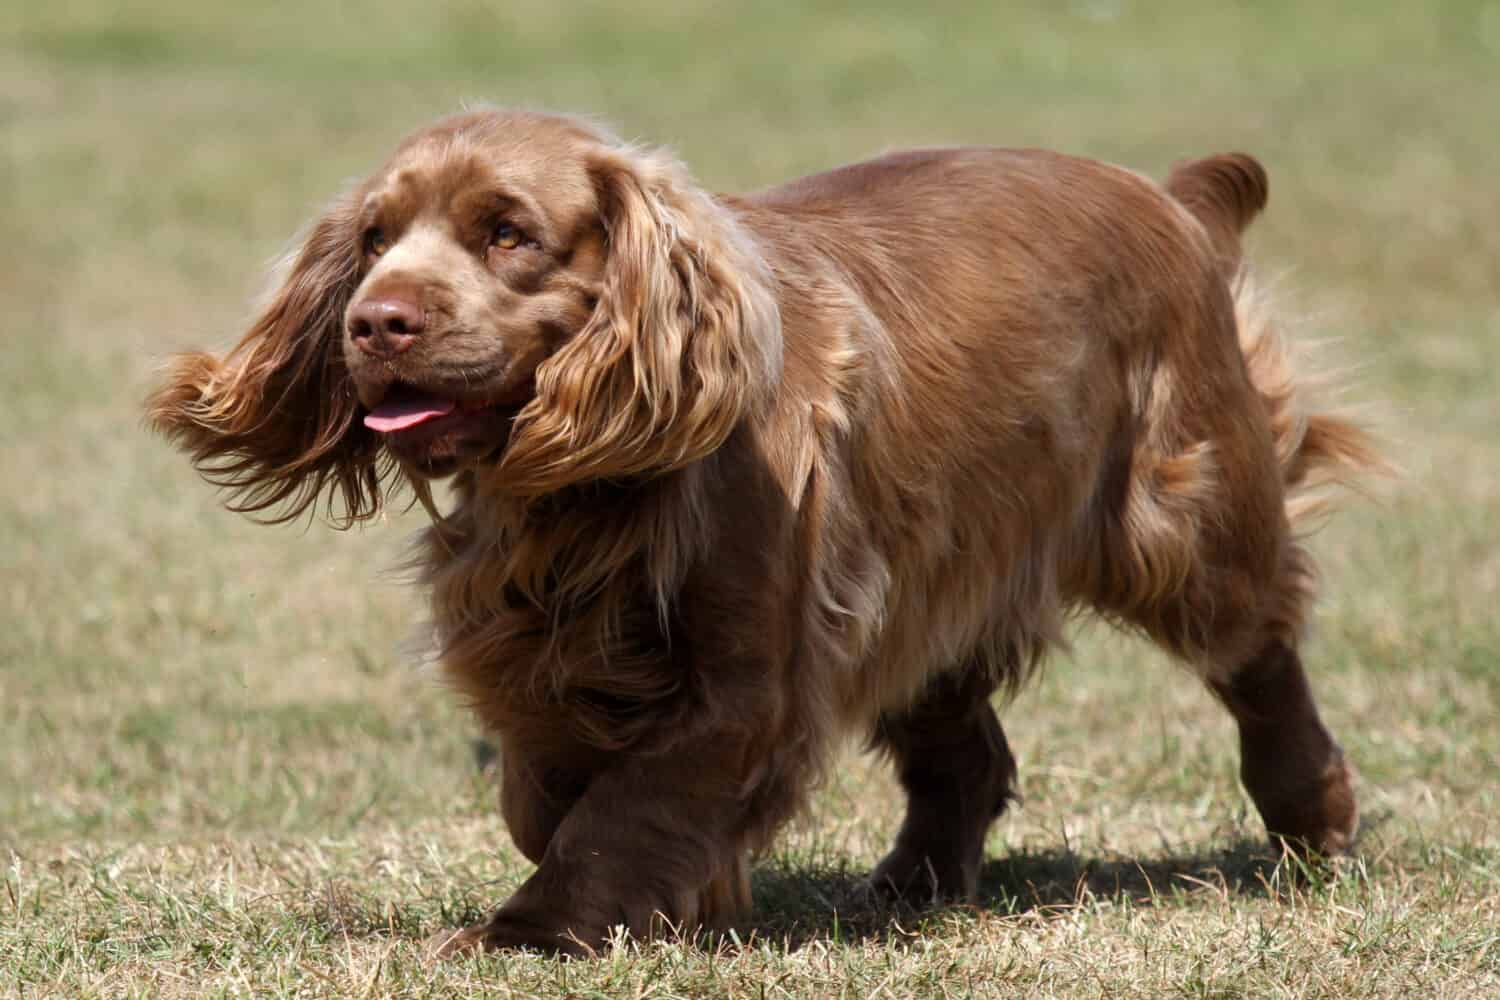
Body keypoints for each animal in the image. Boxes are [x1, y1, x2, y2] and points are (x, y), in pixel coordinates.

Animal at [146, 107, 1374, 953]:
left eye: (508, 235)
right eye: (373, 237)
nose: (376, 321)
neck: (587, 483)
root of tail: (1170, 198)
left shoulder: (748, 673)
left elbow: (625, 808)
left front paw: (534, 932)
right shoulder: (536, 643)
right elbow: (544, 793)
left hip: (1185, 518)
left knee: (1261, 655)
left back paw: (1314, 818)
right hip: (926, 564)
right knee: (964, 749)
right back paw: (910, 886)